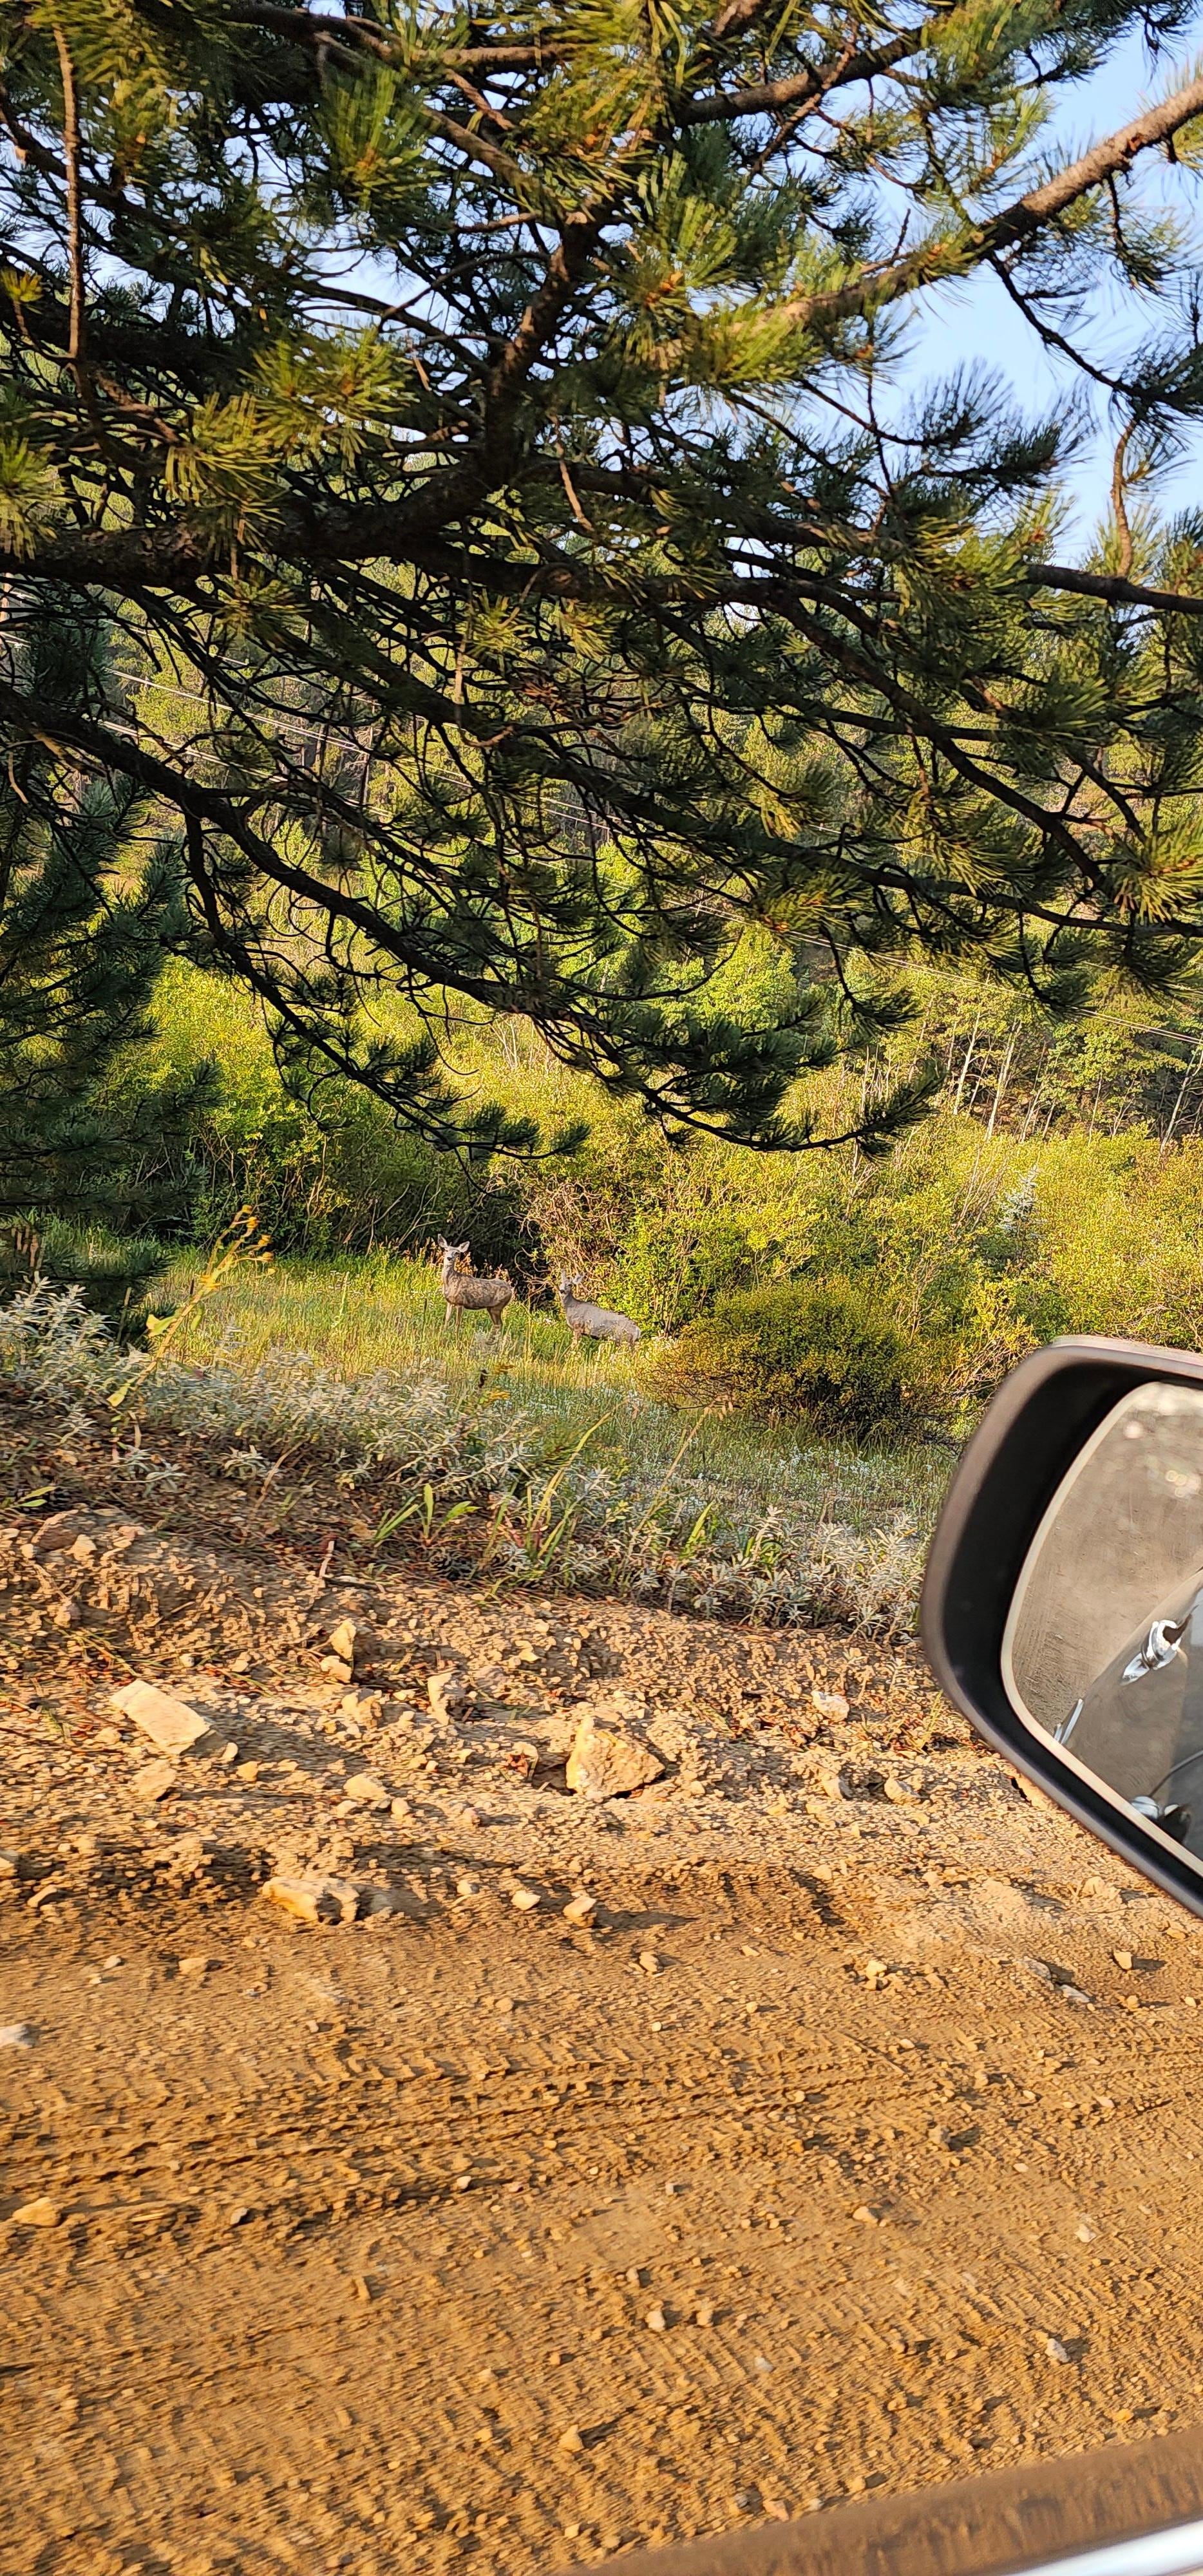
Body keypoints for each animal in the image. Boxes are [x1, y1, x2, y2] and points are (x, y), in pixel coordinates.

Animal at [436, 1238, 515, 1330]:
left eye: (457, 1253)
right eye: (446, 1250)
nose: (449, 1258)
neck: (450, 1282)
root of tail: (510, 1291)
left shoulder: (460, 1301)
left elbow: (457, 1323)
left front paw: (456, 1334)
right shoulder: (450, 1302)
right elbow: (447, 1320)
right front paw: (443, 1332)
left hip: (498, 1306)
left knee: (499, 1325)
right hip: (492, 1308)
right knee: (498, 1325)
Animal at [558, 1275, 641, 1348]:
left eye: (570, 1285)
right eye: (560, 1283)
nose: (562, 1291)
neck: (572, 1306)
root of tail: (637, 1330)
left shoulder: (578, 1327)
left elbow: (574, 1346)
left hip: (623, 1338)